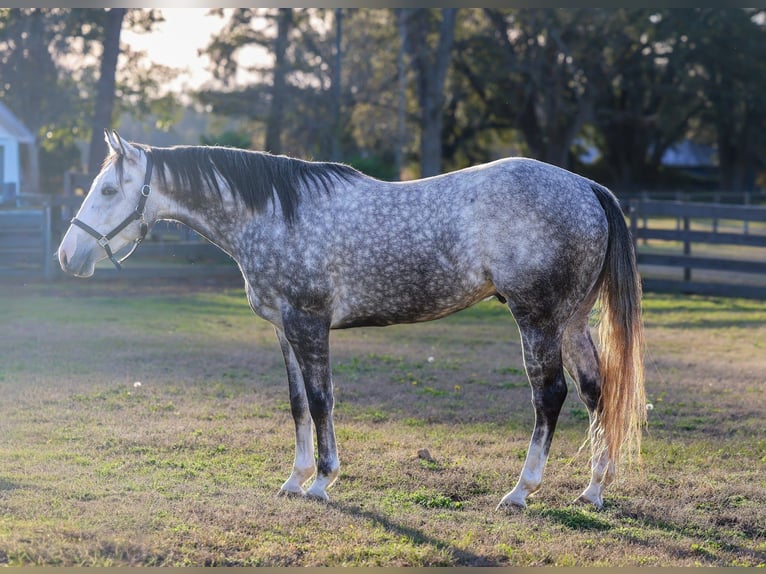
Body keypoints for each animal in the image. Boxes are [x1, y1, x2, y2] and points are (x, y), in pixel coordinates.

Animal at [58, 130, 645, 510]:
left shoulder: (309, 324)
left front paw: (323, 481)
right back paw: (594, 489)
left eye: (107, 190)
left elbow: (322, 401)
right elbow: (297, 403)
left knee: (551, 396)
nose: (68, 256)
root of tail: (587, 188)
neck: (275, 214)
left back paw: (522, 491)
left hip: (537, 320)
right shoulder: (284, 329)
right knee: (596, 391)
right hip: (570, 322)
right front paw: (294, 480)